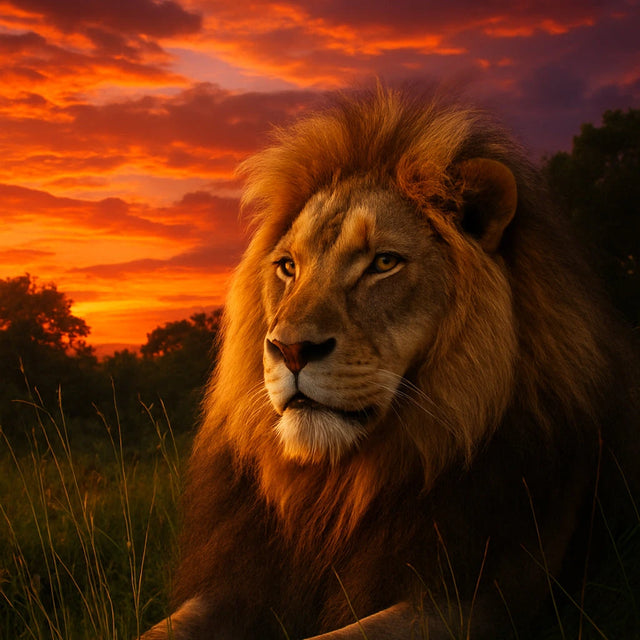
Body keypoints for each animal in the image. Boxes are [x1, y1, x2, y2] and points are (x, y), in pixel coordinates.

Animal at [142, 87, 639, 639]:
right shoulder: (239, 582)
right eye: (288, 267)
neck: (336, 489)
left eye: (383, 263)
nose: (290, 350)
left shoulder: (482, 600)